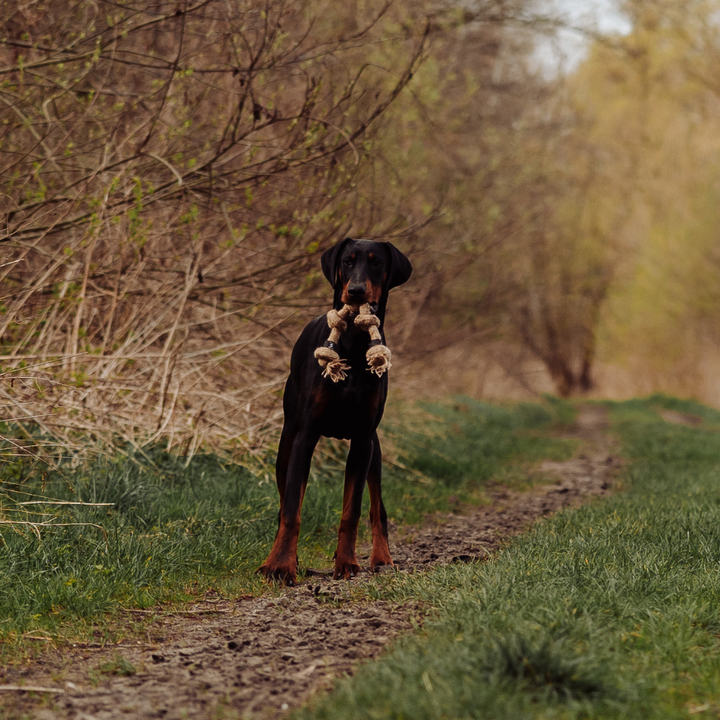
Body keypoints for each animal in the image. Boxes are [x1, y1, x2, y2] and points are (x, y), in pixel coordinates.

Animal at [258, 236, 410, 584]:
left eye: (376, 262)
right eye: (347, 261)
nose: (355, 291)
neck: (353, 342)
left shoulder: (363, 440)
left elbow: (352, 511)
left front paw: (347, 563)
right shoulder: (305, 436)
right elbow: (291, 511)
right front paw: (280, 566)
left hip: (374, 451)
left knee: (378, 508)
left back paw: (382, 558)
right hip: (287, 442)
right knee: (285, 501)